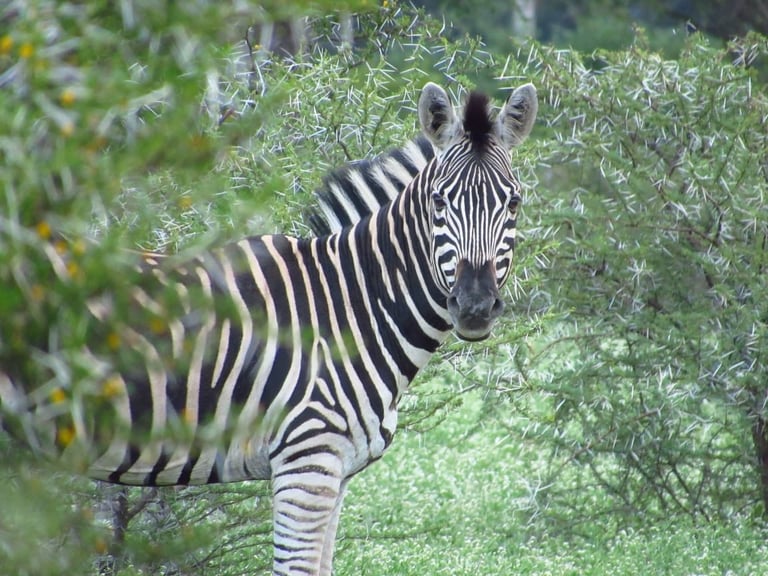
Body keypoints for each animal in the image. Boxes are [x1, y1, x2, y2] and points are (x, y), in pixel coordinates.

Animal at [0, 81, 537, 575]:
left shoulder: (336, 471)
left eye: (513, 203)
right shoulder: (307, 464)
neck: (350, 308)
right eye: (439, 203)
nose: (474, 306)